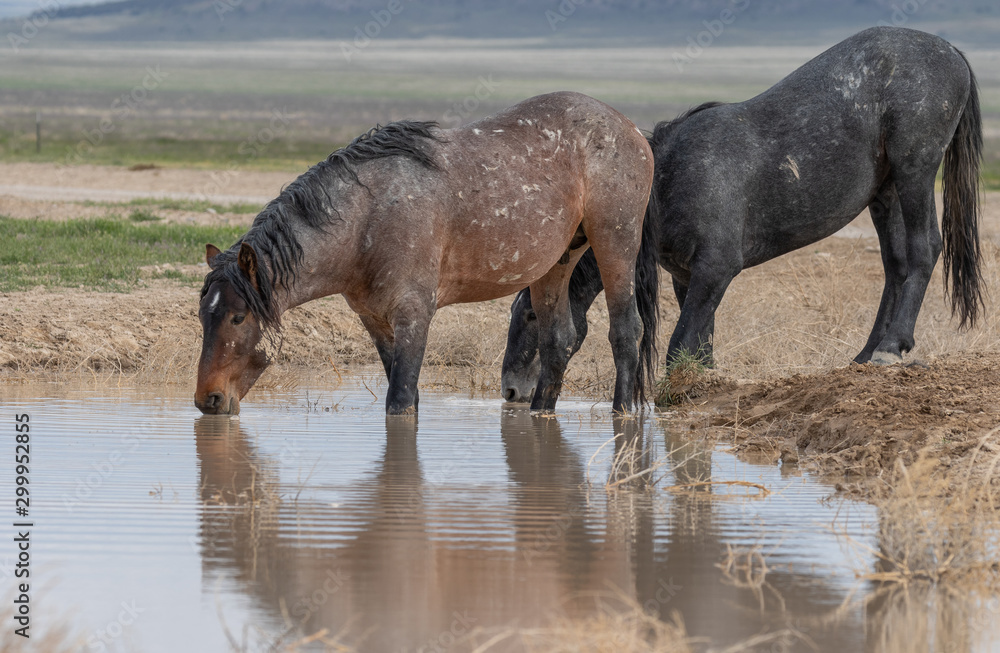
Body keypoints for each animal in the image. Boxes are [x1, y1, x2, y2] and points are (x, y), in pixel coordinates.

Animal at [195, 91, 659, 416]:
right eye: (204, 316)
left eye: (238, 318)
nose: (207, 399)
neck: (364, 221)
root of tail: (632, 130)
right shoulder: (376, 322)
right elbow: (407, 396)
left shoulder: (414, 315)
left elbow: (400, 401)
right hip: (555, 264)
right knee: (558, 340)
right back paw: (539, 413)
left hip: (615, 244)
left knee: (626, 330)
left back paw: (624, 413)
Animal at [501, 26, 984, 403]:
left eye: (530, 316)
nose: (509, 389)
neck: (670, 180)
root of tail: (951, 51)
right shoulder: (689, 278)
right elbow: (701, 345)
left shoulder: (717, 269)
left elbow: (679, 347)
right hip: (885, 192)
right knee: (895, 266)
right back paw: (867, 354)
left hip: (914, 168)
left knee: (924, 249)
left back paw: (890, 348)